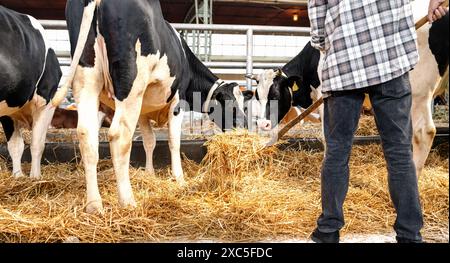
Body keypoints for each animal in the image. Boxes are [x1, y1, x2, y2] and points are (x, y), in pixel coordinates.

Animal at [52, 0, 253, 214]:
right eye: (228, 103)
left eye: (244, 103)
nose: (243, 125)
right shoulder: (177, 103)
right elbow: (173, 141)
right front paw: (179, 177)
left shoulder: (143, 111)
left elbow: (150, 142)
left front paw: (149, 173)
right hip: (131, 84)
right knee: (119, 137)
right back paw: (127, 200)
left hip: (87, 78)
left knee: (86, 133)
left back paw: (94, 205)